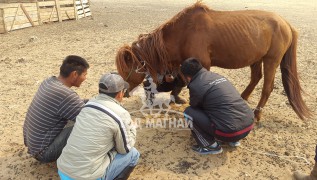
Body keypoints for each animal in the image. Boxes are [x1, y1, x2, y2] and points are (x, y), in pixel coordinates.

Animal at [115, 1, 310, 121]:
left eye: (125, 70)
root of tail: (286, 23)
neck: (184, 32)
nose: (123, 92)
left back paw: (256, 114)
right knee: (256, 78)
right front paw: (176, 98)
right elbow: (180, 82)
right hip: (256, 59)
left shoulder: (202, 65)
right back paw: (242, 98)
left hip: (271, 60)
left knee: (267, 88)